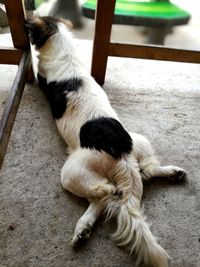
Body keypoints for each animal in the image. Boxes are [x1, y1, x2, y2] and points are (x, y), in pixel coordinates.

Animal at [25, 16, 185, 267]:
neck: (64, 49)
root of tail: (122, 156)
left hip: (71, 173)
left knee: (105, 194)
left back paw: (83, 227)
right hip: (140, 140)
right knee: (146, 170)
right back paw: (172, 172)